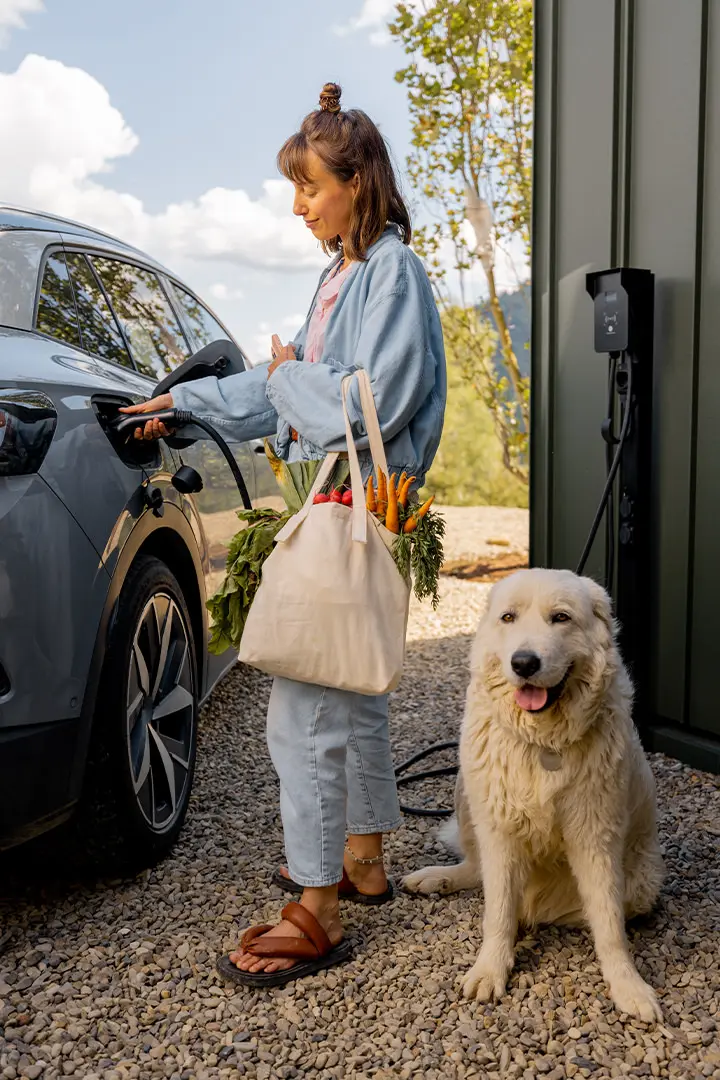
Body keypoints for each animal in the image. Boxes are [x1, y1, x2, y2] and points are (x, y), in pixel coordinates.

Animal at [403, 565, 669, 1019]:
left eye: (560, 618)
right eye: (508, 618)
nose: (524, 663)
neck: (545, 743)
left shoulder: (595, 837)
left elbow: (610, 925)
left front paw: (627, 985)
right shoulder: (498, 832)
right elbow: (497, 912)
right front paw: (490, 969)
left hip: (641, 884)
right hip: (467, 790)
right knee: (478, 872)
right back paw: (436, 878)